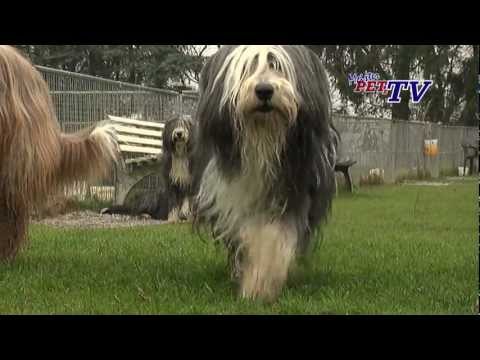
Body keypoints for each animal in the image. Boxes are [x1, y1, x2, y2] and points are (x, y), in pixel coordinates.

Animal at [191, 46, 338, 302]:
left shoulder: (291, 191)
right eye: (247, 67)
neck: (263, 139)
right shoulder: (231, 196)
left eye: (276, 65)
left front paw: (259, 287)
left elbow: (273, 236)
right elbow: (245, 234)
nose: (264, 90)